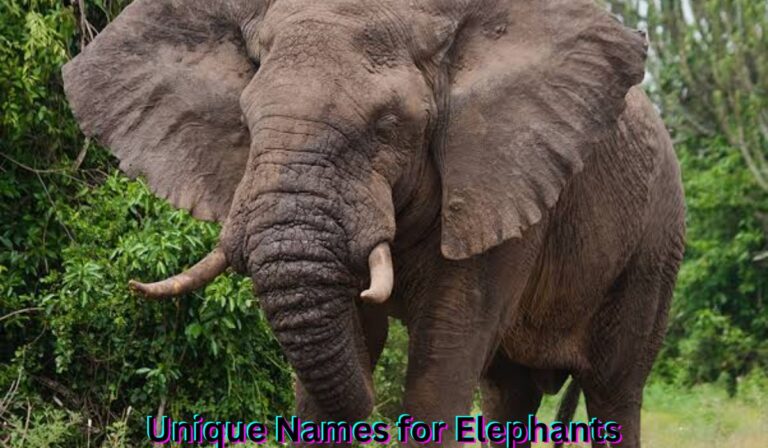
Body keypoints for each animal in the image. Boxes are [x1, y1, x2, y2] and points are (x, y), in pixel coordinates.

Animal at [62, 0, 685, 446]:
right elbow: (343, 357)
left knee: (613, 390)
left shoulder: (502, 173)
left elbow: (442, 359)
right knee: (507, 394)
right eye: (246, 120)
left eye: (389, 125)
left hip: (656, 246)